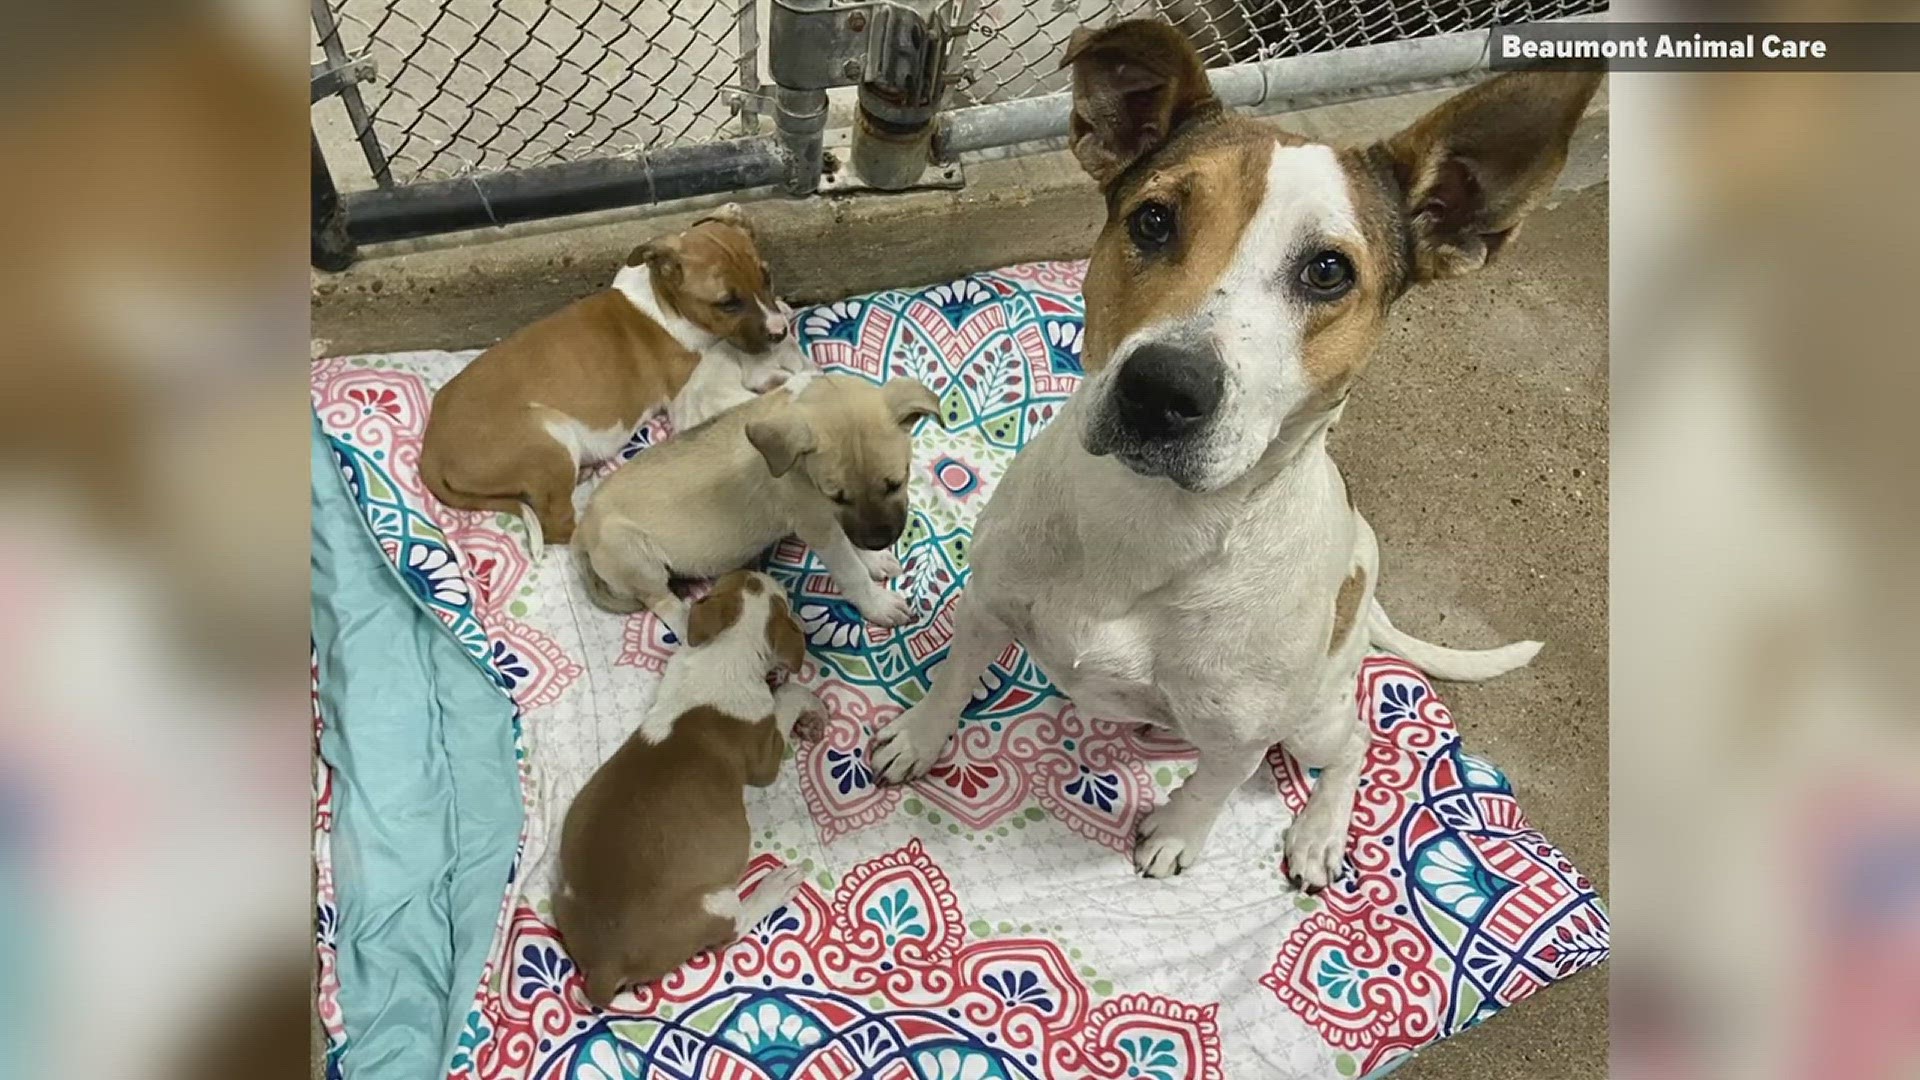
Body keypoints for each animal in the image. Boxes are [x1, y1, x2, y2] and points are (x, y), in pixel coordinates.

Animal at [424, 203, 791, 553]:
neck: (661, 300)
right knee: (559, 525)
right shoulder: (690, 386)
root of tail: (431, 454)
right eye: (727, 303)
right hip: (549, 440)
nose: (781, 332)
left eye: (767, 277)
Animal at [556, 568, 825, 1006]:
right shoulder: (765, 757)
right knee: (734, 930)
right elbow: (786, 701)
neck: (727, 649)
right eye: (784, 600)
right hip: (715, 905)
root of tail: (604, 965)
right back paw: (774, 887)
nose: (759, 570)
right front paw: (799, 693)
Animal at [572, 368, 940, 638]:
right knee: (662, 602)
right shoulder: (817, 524)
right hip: (633, 554)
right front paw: (878, 603)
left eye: (897, 482)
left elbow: (852, 546)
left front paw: (874, 559)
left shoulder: (831, 520)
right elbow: (851, 570)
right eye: (837, 495)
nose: (880, 540)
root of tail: (582, 530)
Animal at [871, 21, 1605, 887]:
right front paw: (918, 738)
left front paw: (1176, 835)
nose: (1161, 389)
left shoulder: (1239, 734)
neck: (1147, 523)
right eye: (1154, 220)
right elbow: (953, 679)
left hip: (1312, 716)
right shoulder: (988, 604)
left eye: (1328, 270)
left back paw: (1319, 833)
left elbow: (1214, 785)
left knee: (1357, 740)